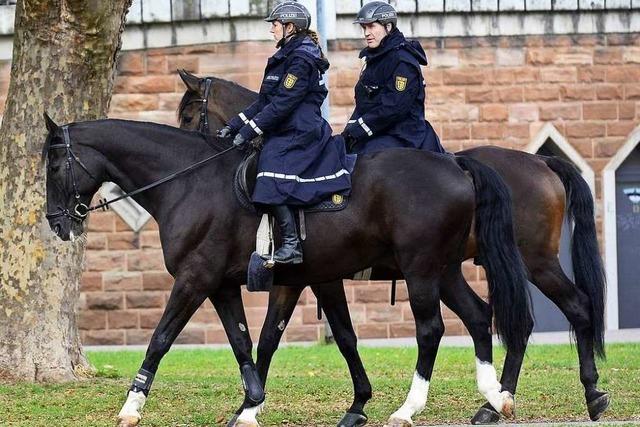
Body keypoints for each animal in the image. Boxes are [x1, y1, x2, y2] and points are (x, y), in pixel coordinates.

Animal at [43, 113, 528, 427]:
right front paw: (251, 404)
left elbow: (161, 338)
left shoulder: (195, 279)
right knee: (479, 316)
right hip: (443, 270)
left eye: (55, 163)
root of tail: (454, 163)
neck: (189, 183)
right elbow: (251, 341)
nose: (57, 222)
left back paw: (411, 408)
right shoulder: (231, 285)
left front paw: (131, 406)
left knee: (432, 330)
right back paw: (494, 398)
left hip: (421, 269)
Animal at [176, 71, 608, 424]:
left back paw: (583, 392)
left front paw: (254, 406)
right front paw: (253, 405)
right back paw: (505, 401)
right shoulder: (300, 279)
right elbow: (273, 336)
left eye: (187, 115)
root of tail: (542, 163)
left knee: (572, 307)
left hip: (532, 262)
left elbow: (323, 336)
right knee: (510, 320)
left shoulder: (315, 277)